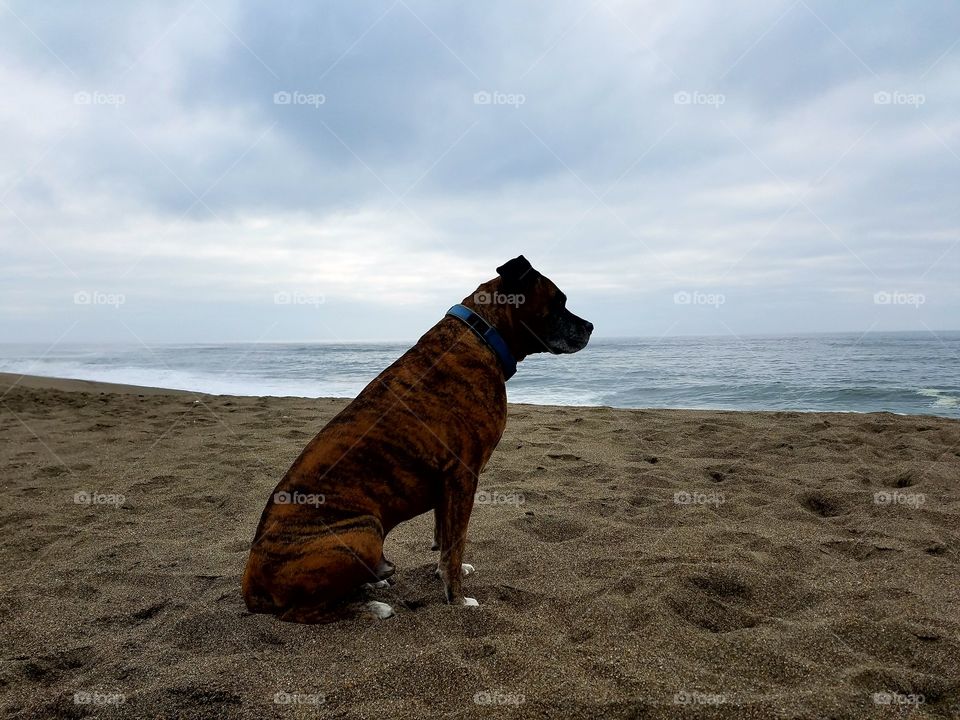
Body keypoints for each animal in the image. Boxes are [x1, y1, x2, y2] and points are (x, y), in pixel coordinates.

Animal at [240, 256, 592, 620]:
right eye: (558, 303)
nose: (591, 326)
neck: (483, 334)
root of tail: (251, 584)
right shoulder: (462, 477)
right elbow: (454, 545)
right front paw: (457, 599)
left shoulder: (447, 485)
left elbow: (444, 539)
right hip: (365, 530)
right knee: (303, 612)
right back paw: (371, 608)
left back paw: (372, 584)